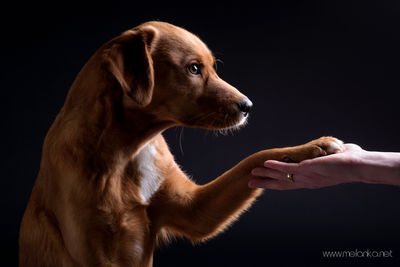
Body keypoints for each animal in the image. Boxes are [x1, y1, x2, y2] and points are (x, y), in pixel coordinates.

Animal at [19, 22, 344, 266]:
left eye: (212, 67)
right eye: (193, 69)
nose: (248, 106)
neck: (128, 151)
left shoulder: (194, 210)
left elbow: (253, 158)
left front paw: (311, 148)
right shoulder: (96, 252)